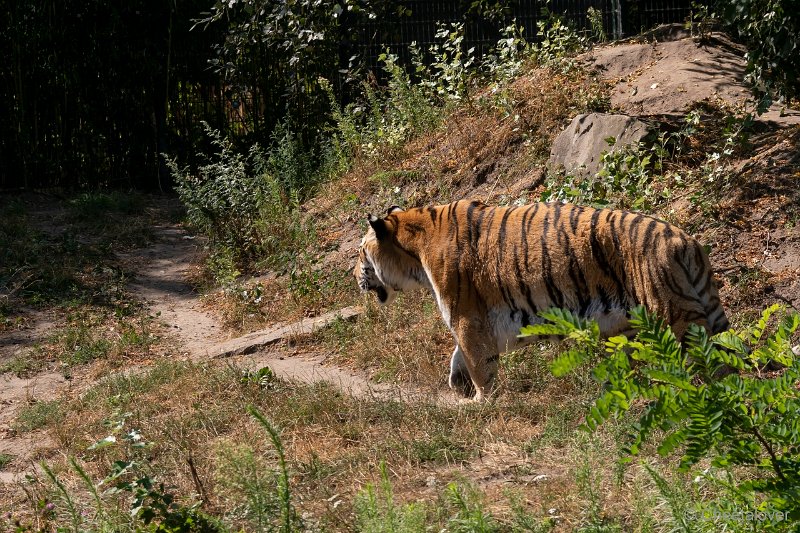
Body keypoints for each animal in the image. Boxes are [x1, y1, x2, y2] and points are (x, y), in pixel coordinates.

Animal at [356, 202, 732, 402]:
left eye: (360, 252)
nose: (353, 276)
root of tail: (685, 242)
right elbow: (459, 357)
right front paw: (458, 385)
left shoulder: (466, 315)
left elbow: (476, 360)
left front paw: (480, 402)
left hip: (674, 315)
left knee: (704, 363)